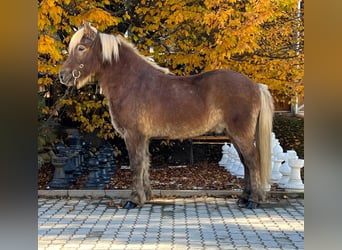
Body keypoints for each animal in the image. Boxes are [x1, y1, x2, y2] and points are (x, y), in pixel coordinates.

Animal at [58, 22, 272, 209]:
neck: (131, 82)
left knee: (252, 160)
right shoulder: (143, 137)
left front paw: (133, 200)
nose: (63, 75)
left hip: (241, 134)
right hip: (234, 135)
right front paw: (146, 196)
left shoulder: (133, 136)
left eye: (81, 48)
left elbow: (136, 165)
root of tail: (255, 85)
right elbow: (144, 164)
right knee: (246, 162)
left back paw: (254, 200)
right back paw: (244, 198)